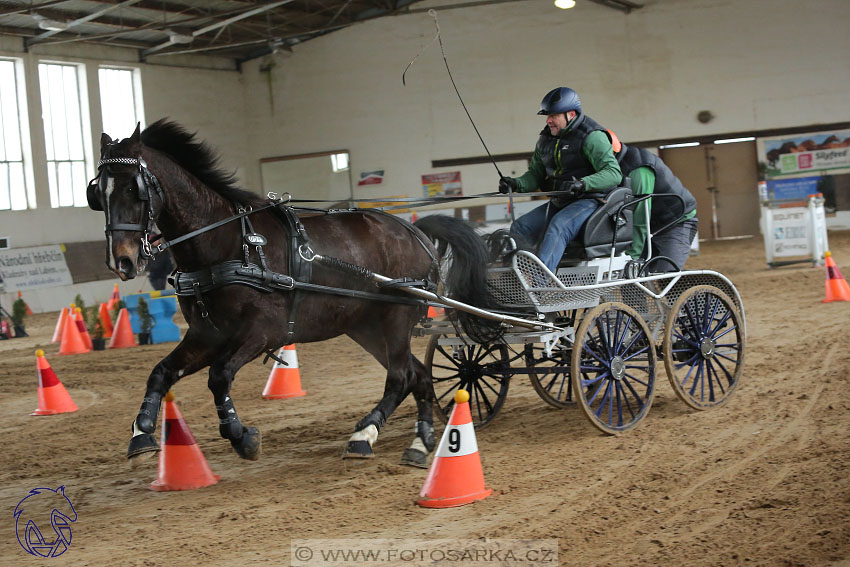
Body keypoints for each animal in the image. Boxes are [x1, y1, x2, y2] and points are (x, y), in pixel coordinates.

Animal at [87, 121, 494, 470]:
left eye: (133, 188)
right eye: (97, 193)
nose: (121, 260)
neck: (227, 243)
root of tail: (414, 230)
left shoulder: (262, 331)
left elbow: (219, 376)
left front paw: (242, 436)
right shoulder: (207, 335)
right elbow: (160, 373)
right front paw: (141, 435)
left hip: (396, 317)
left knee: (400, 376)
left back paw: (364, 435)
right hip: (365, 326)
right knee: (418, 375)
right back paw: (420, 444)